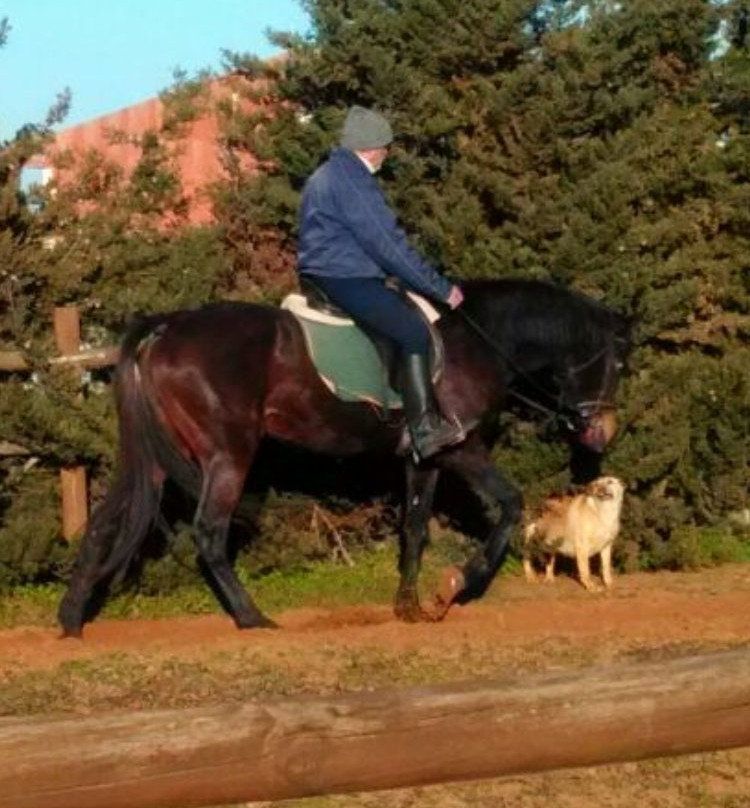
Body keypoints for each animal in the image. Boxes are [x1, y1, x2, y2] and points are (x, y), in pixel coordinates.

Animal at [58, 278, 631, 636]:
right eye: (619, 364)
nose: (602, 433)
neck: (479, 340)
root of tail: (166, 327)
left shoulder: (423, 459)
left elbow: (414, 530)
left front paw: (410, 606)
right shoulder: (461, 448)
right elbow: (510, 504)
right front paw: (455, 586)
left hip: (156, 459)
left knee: (108, 520)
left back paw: (71, 617)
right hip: (227, 456)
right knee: (209, 534)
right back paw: (253, 618)